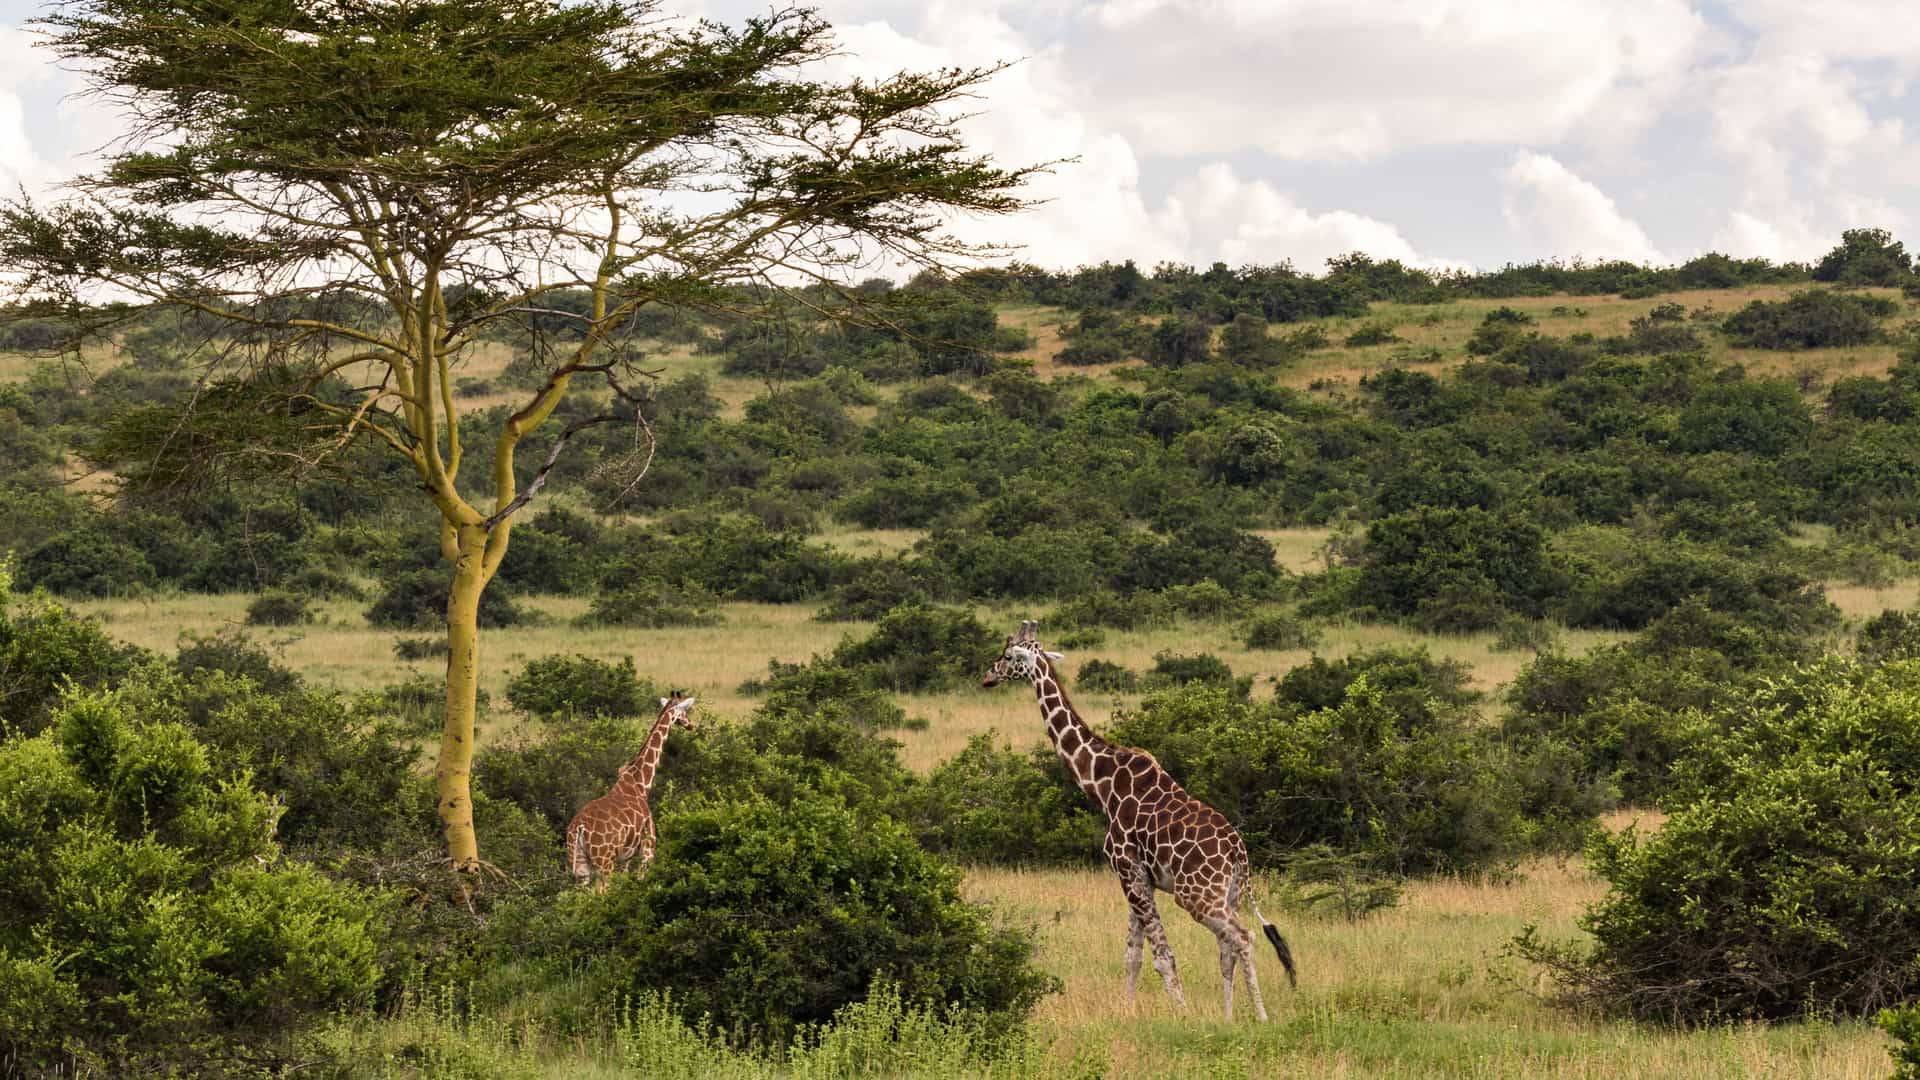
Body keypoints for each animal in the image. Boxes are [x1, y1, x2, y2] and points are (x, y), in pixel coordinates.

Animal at [566, 691, 697, 892]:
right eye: (684, 711)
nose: (691, 724)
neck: (640, 782)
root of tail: (579, 828)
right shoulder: (648, 849)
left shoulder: (624, 858)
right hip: (604, 862)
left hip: (580, 866)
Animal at [983, 620, 1296, 1020]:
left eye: (1008, 656)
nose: (988, 676)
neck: (1101, 786)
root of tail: (1238, 853)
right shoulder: (1136, 877)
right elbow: (1132, 955)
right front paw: (1130, 1012)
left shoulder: (1128, 871)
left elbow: (1162, 957)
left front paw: (1183, 1016)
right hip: (1231, 894)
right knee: (1227, 946)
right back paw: (1229, 1018)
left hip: (1196, 894)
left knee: (1244, 937)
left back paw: (1261, 1017)